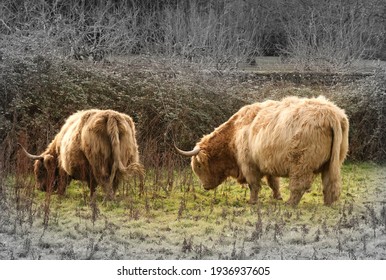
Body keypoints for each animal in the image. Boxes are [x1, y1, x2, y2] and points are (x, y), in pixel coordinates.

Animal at [176, 96, 348, 206]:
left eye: (199, 166)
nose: (204, 187)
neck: (234, 132)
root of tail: (330, 112)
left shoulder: (249, 164)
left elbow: (254, 184)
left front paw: (252, 201)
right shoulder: (268, 162)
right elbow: (274, 183)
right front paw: (277, 197)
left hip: (301, 164)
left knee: (299, 185)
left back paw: (290, 203)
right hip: (333, 162)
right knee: (330, 183)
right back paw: (328, 203)